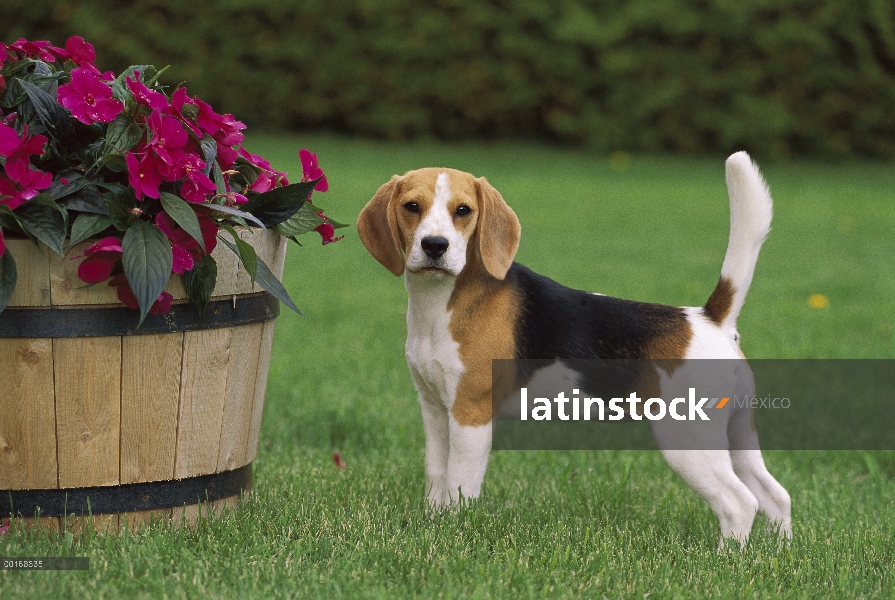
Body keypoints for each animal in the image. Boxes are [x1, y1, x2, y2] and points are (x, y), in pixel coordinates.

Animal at [356, 154, 792, 544]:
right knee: (776, 496)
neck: (443, 301)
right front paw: (432, 523)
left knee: (739, 503)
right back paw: (777, 554)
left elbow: (459, 483)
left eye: (463, 211)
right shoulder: (434, 407)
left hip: (688, 440)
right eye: (412, 207)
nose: (435, 245)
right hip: (737, 432)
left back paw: (725, 560)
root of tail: (709, 319)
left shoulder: (470, 414)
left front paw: (452, 533)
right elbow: (437, 473)